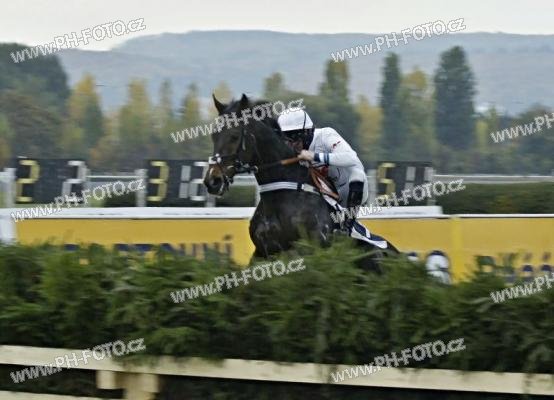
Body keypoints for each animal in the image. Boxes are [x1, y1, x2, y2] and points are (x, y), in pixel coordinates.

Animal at [203, 94, 398, 270]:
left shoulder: (310, 249)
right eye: (213, 135)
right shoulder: (263, 252)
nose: (212, 181)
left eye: (234, 136)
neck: (281, 196)